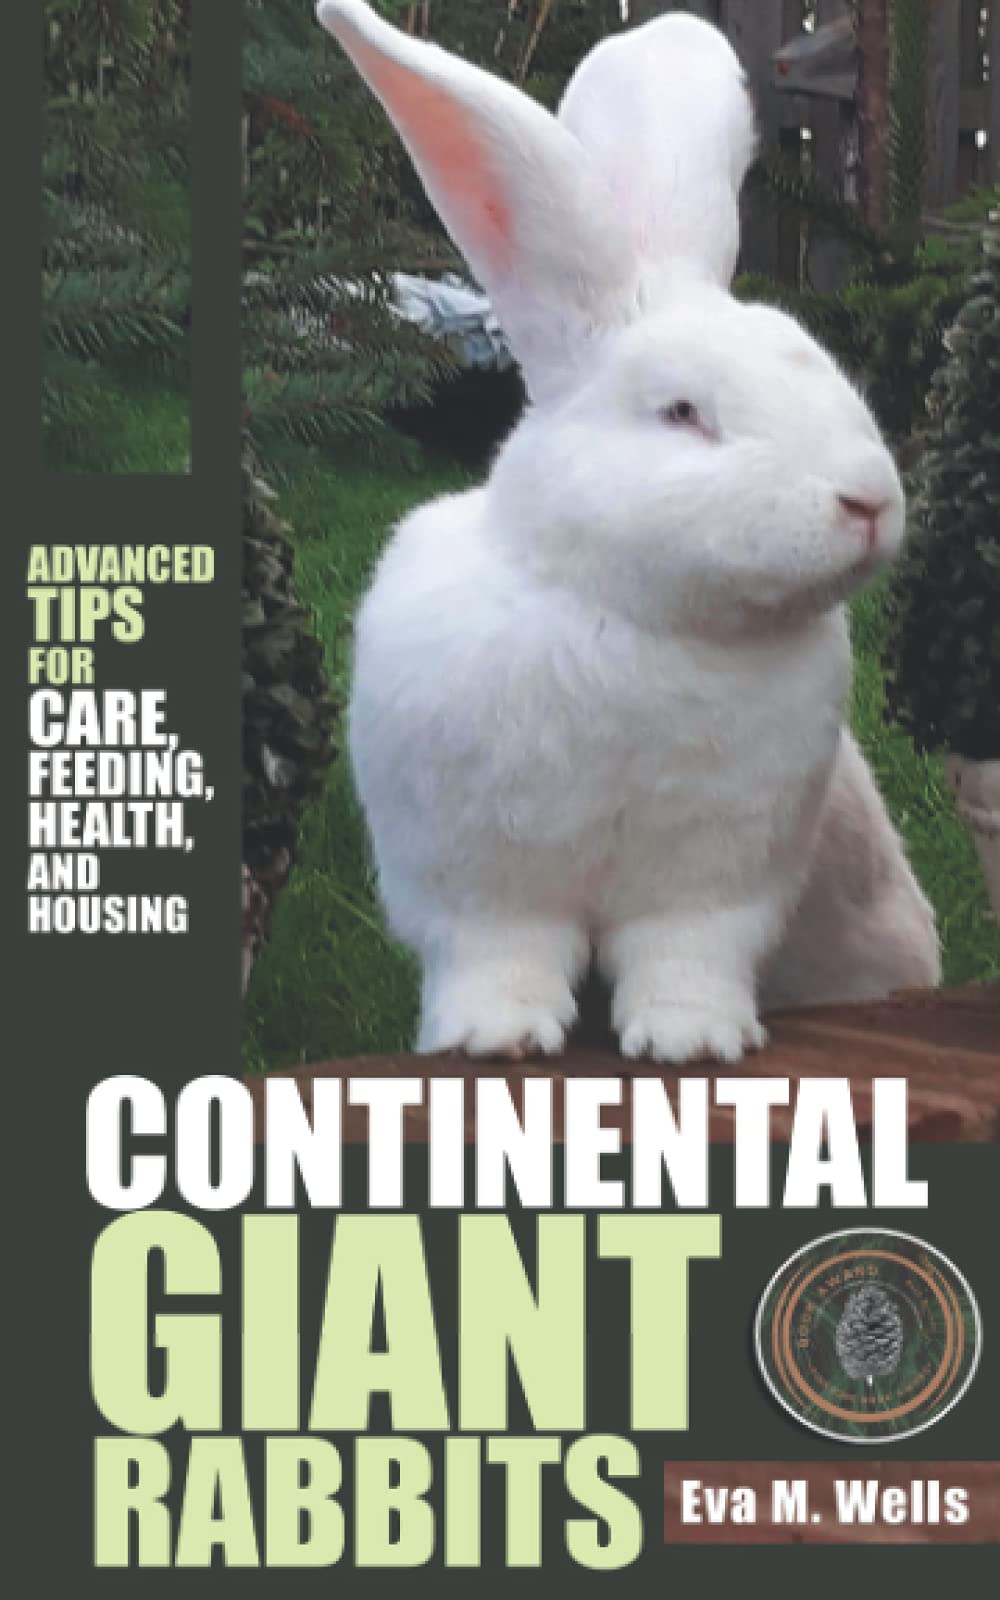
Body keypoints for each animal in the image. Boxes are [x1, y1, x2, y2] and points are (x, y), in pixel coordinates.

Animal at [317, 0, 940, 1064]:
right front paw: (494, 1038)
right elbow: (501, 956)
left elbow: (686, 957)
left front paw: (694, 1044)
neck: (630, 619)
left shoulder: (717, 878)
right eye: (682, 412)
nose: (868, 501)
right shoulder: (476, 879)